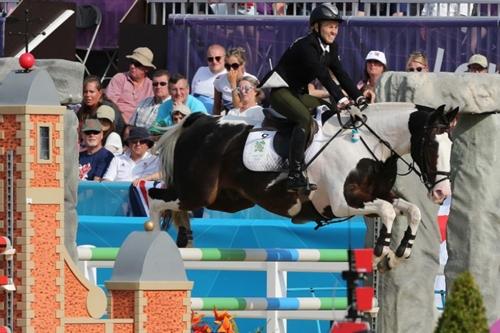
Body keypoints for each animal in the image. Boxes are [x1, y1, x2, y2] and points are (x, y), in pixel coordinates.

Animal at [147, 102, 458, 268]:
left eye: (451, 144)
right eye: (431, 145)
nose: (442, 193)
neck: (372, 146)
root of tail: (199, 122)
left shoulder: (376, 195)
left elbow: (411, 210)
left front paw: (400, 252)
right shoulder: (343, 203)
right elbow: (389, 211)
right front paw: (382, 250)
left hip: (226, 199)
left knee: (175, 206)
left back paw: (185, 238)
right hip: (198, 191)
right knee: (155, 198)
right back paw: (154, 239)